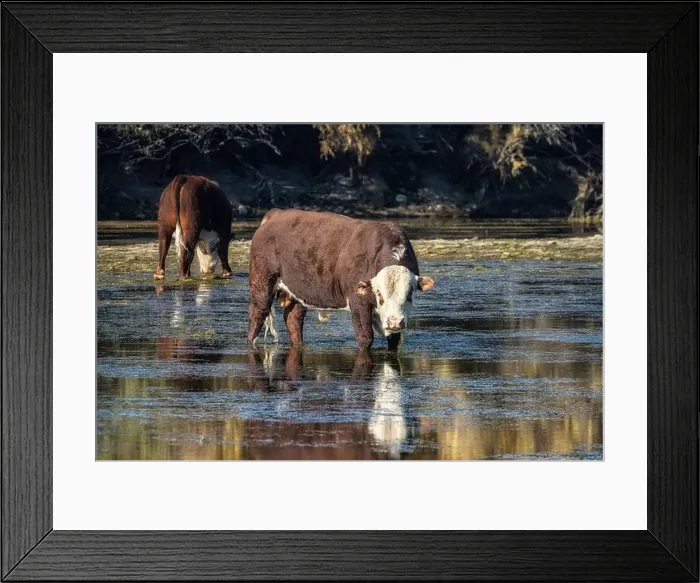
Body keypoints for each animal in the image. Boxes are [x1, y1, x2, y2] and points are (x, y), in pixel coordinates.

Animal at [247, 209, 435, 351]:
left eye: (410, 294)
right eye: (379, 294)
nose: (395, 321)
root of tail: (275, 214)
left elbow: (394, 342)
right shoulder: (358, 302)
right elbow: (365, 337)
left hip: (299, 291)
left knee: (294, 319)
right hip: (262, 284)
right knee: (257, 315)